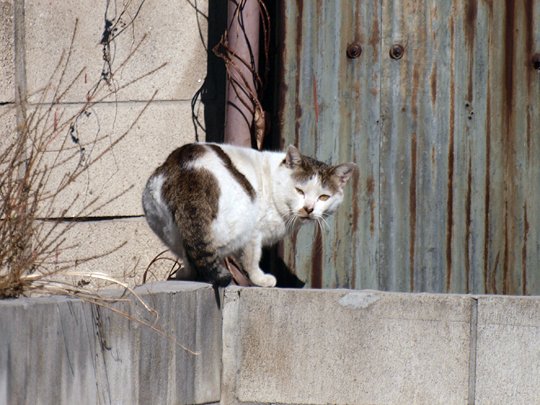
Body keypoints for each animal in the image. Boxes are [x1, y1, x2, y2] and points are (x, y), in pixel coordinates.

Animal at [141, 142, 356, 288]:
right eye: (300, 191)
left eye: (323, 197)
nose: (309, 208)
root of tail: (190, 171)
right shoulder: (254, 233)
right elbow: (251, 258)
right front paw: (260, 279)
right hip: (241, 222)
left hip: (161, 223)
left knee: (188, 253)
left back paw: (185, 274)